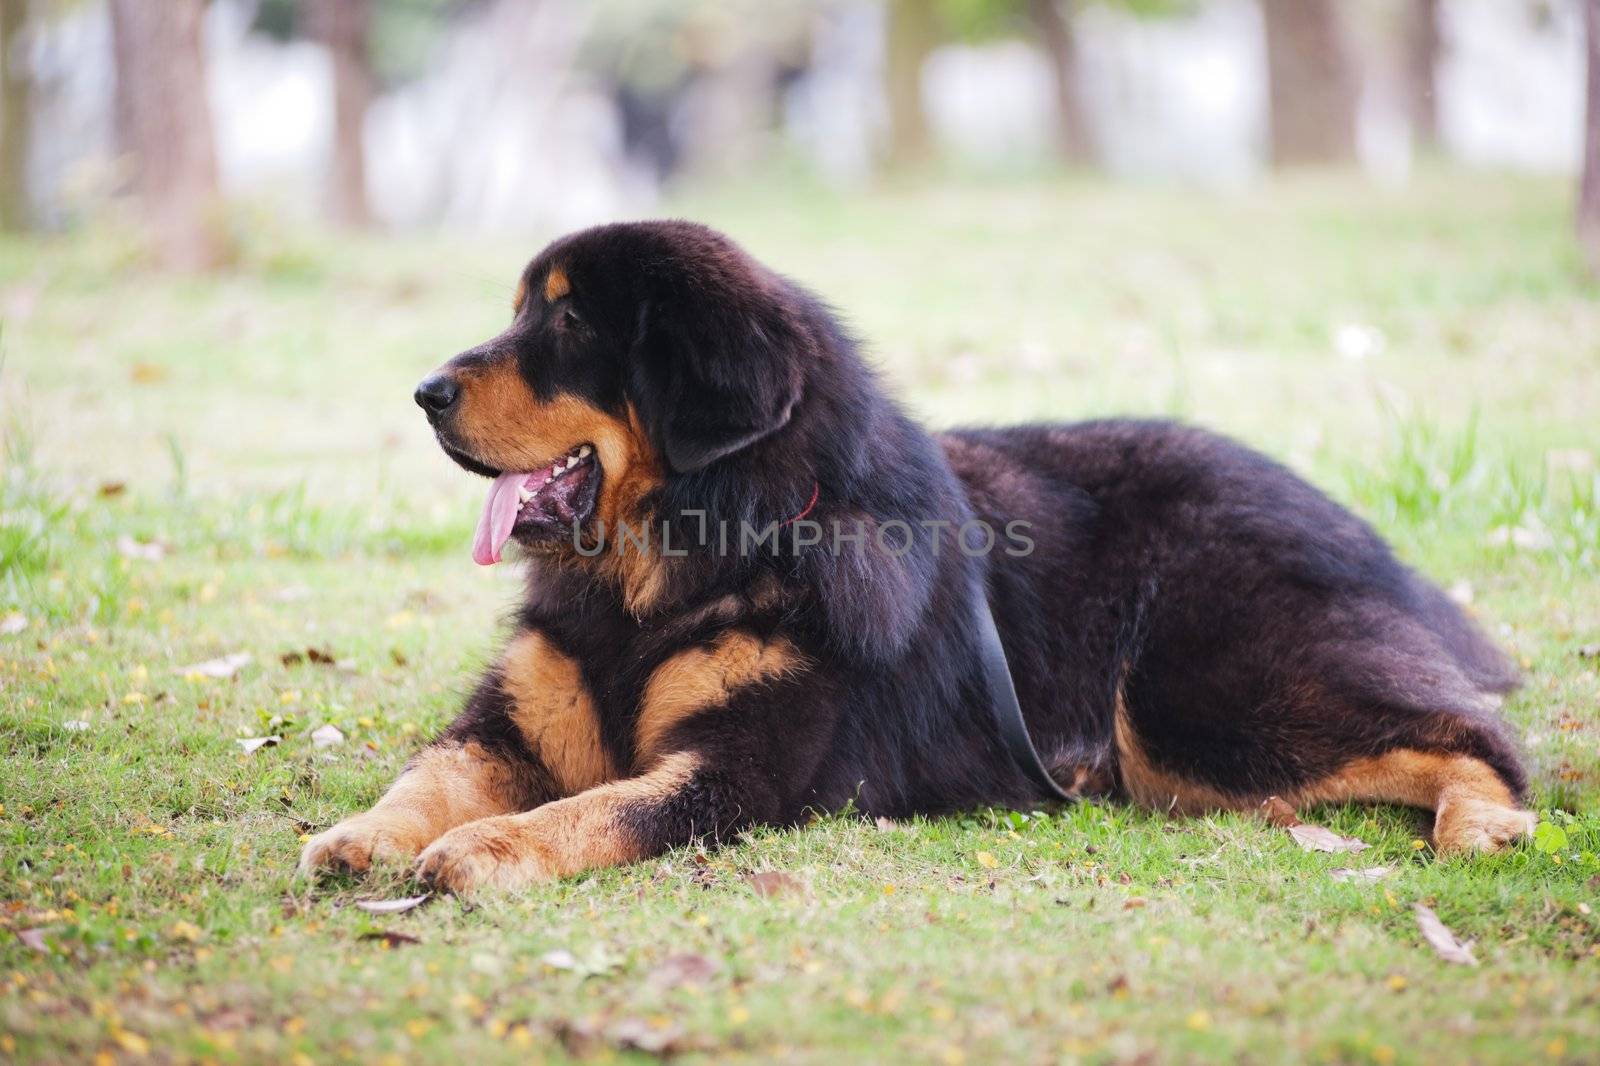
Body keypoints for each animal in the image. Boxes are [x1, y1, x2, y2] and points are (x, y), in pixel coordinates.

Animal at [300, 217, 1536, 889]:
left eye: (565, 324)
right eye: (519, 313)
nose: (425, 392)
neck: (693, 562)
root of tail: (1345, 520)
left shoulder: (738, 770)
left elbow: (587, 812)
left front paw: (485, 850)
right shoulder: (510, 723)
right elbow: (428, 775)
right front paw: (359, 835)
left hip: (1194, 698)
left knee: (1476, 734)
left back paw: (1485, 823)